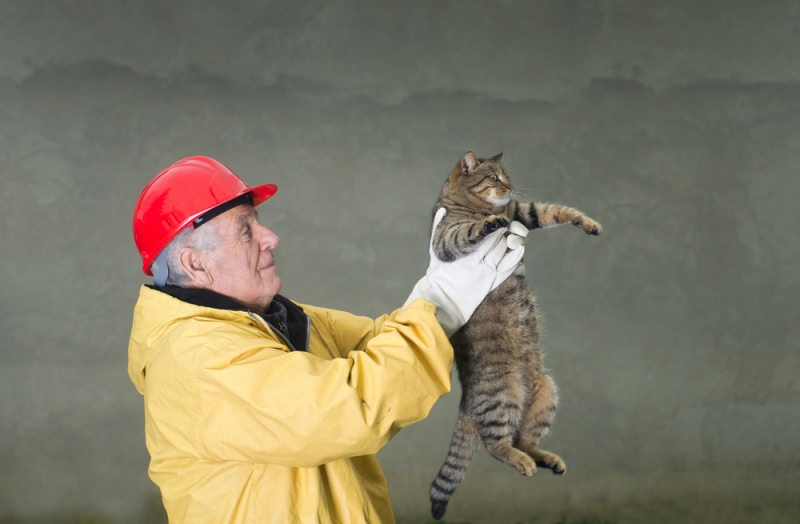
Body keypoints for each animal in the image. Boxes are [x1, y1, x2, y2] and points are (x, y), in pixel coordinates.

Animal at [428, 151, 604, 520]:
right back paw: (522, 461)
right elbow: (466, 232)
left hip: (546, 391)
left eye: (507, 176)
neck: (481, 205)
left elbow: (556, 210)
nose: (509, 187)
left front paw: (588, 223)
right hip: (503, 396)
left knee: (523, 439)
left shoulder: (524, 211)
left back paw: (543, 458)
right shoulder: (445, 237)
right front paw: (488, 225)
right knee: (496, 444)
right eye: (494, 177)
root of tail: (466, 403)